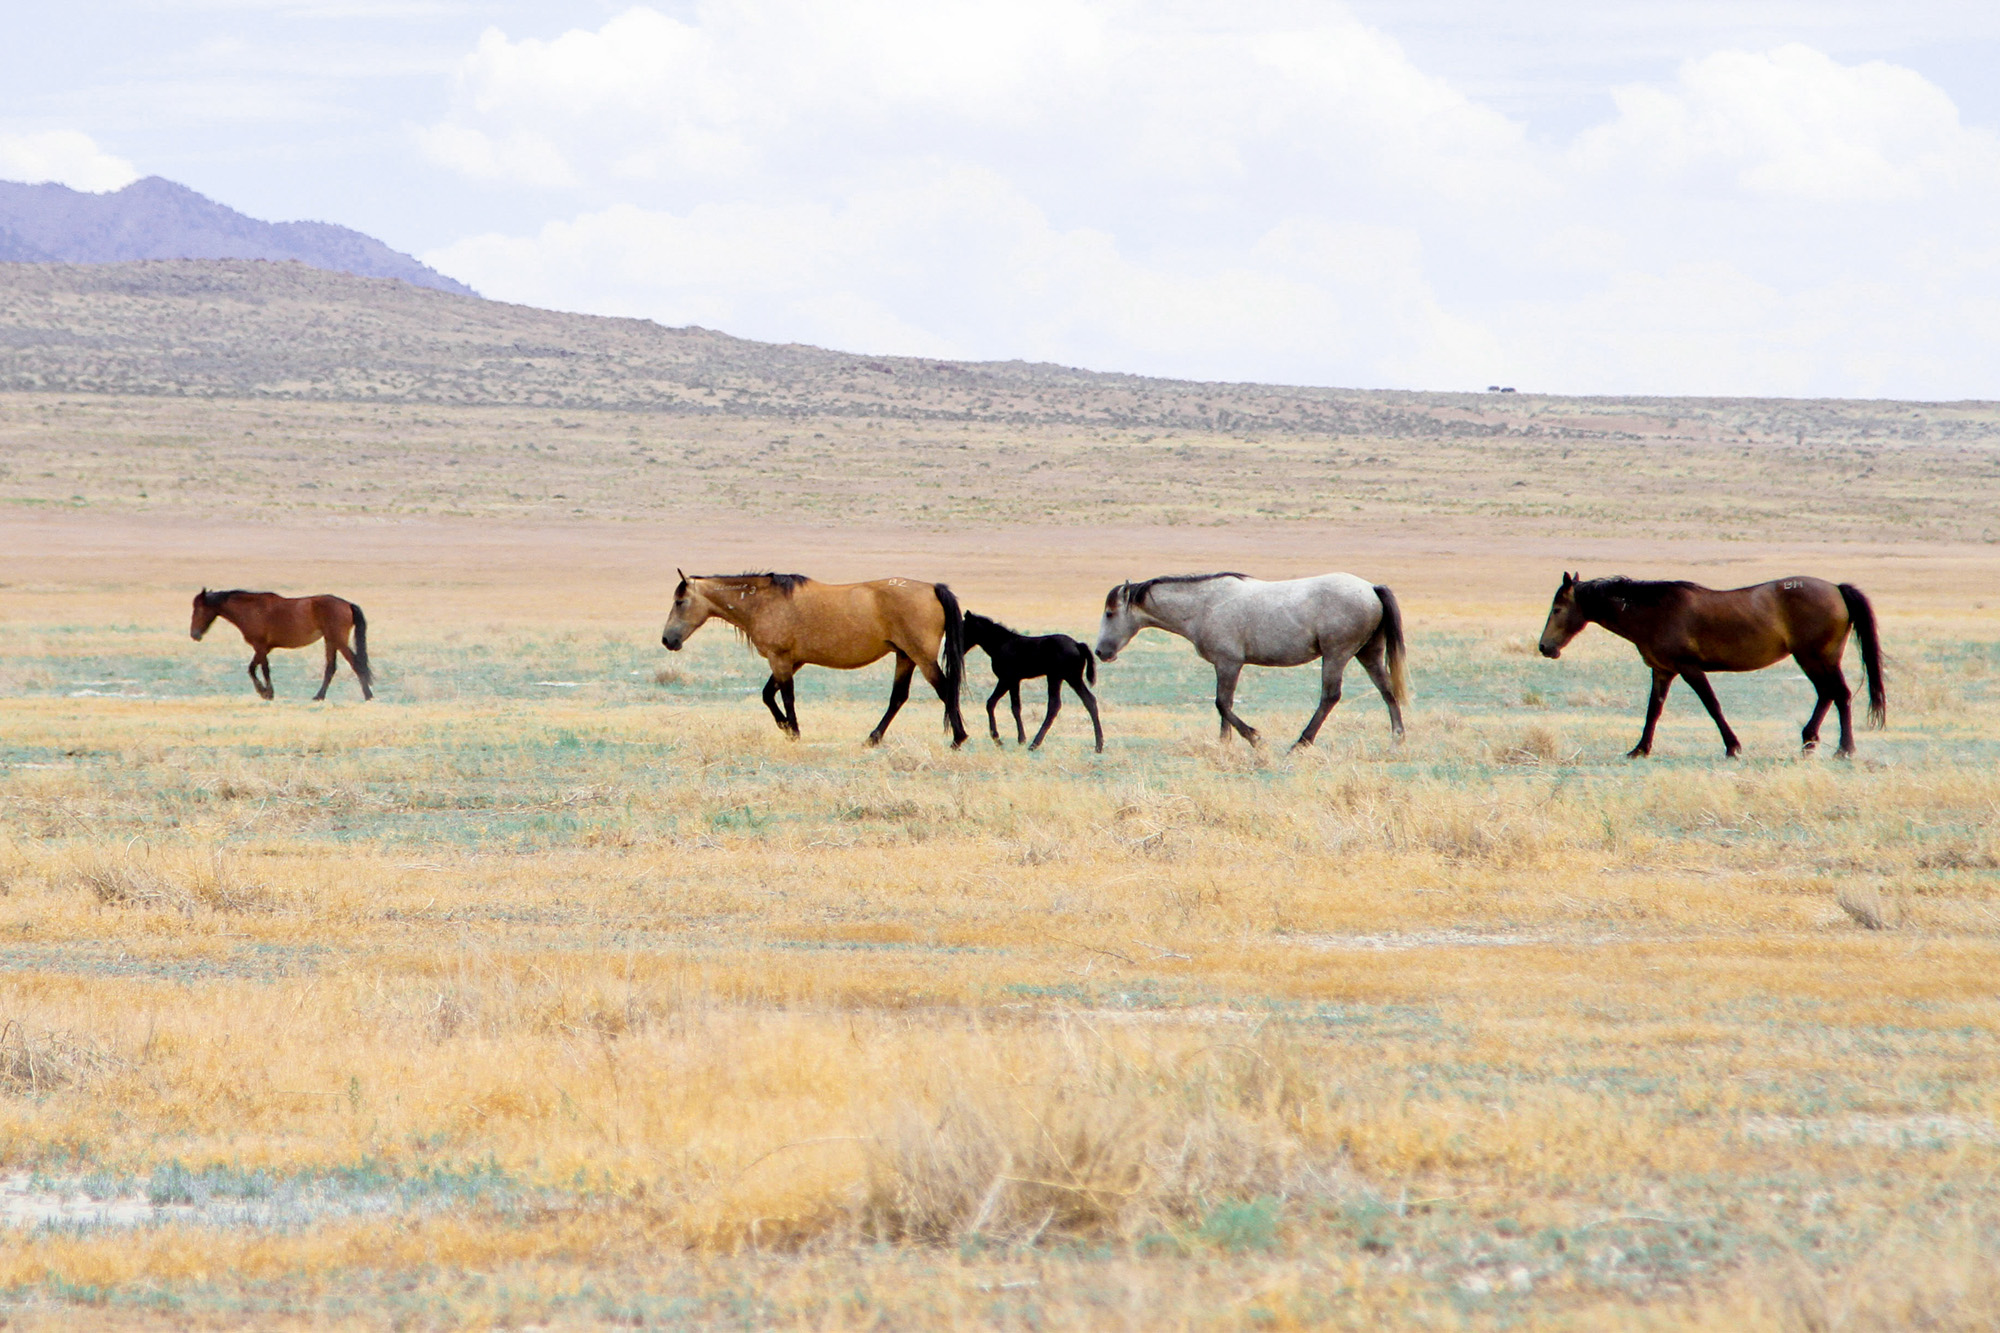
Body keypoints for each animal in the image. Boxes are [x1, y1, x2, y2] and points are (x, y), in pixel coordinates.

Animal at [191, 588, 376, 700]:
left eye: (198, 610)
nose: (194, 635)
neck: (251, 610)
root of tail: (347, 604)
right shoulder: (263, 648)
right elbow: (253, 668)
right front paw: (265, 692)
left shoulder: (260, 646)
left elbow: (262, 669)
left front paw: (267, 692)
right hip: (330, 641)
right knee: (331, 668)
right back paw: (319, 696)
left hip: (338, 640)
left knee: (356, 664)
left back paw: (368, 696)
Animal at [660, 564, 964, 740]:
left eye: (680, 601)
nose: (667, 640)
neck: (764, 603)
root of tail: (931, 588)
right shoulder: (792, 661)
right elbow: (768, 695)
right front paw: (785, 727)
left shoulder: (780, 659)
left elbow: (786, 697)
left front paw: (793, 731)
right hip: (905, 656)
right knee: (898, 697)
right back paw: (873, 738)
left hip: (922, 657)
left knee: (945, 690)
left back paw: (958, 738)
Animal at [1096, 564, 1408, 740]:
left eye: (1110, 613)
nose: (1100, 652)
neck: (1204, 605)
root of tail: (1371, 588)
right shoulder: (1223, 666)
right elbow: (1225, 708)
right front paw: (1225, 745)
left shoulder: (1229, 663)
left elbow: (1222, 704)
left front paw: (1253, 737)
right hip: (1368, 653)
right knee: (1386, 689)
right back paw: (1397, 737)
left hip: (1337, 655)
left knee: (1330, 697)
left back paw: (1301, 742)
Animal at [1536, 572, 1880, 756]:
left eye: (1556, 609)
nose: (1544, 647)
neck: (1654, 612)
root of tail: (1836, 589)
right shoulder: (1662, 671)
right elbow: (1653, 711)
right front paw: (1640, 749)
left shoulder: (1690, 669)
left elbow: (1712, 706)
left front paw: (1733, 747)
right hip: (1817, 659)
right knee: (1828, 694)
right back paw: (1809, 741)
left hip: (1815, 658)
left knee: (1839, 695)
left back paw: (1844, 749)